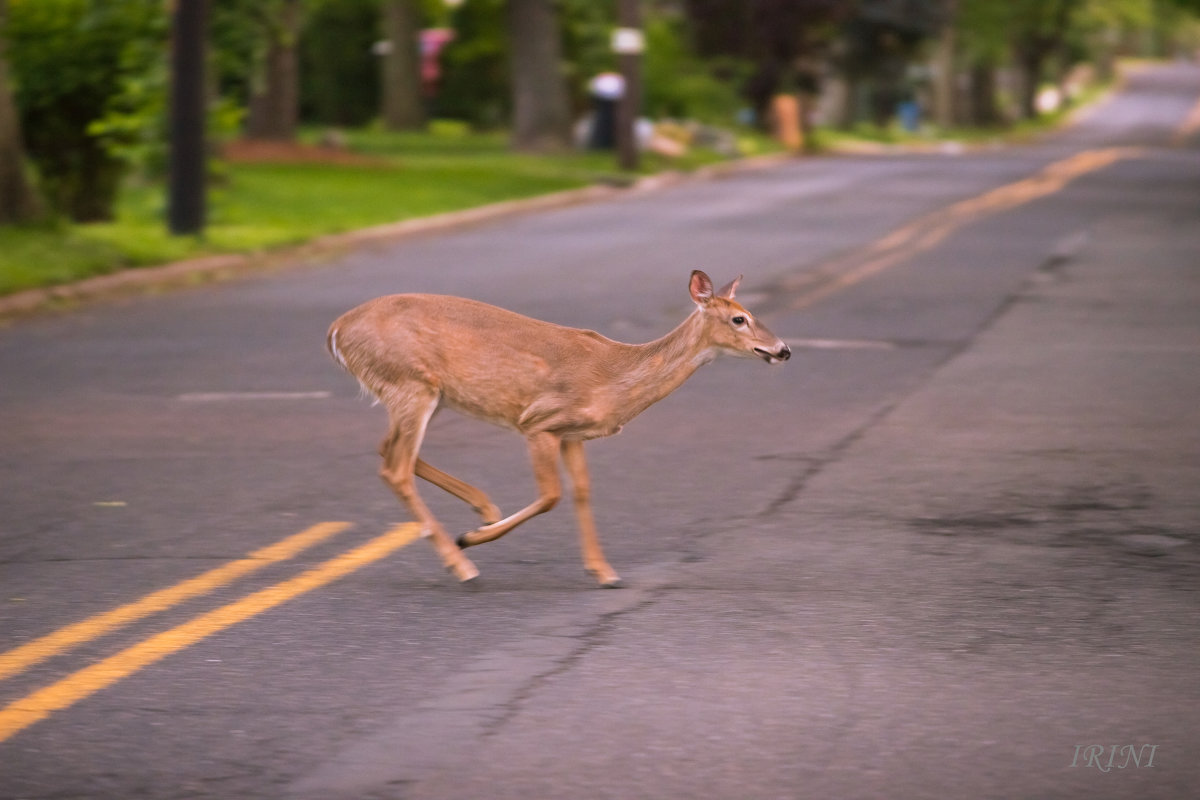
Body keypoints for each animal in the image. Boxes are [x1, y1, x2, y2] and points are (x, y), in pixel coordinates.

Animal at [328, 272, 792, 585]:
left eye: (752, 314)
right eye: (739, 319)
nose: (783, 350)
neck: (613, 377)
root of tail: (335, 330)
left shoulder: (574, 434)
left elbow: (582, 492)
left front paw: (603, 571)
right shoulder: (539, 422)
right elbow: (551, 495)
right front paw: (471, 539)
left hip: (423, 394)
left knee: (387, 450)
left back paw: (483, 508)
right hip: (412, 385)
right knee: (395, 467)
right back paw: (461, 562)